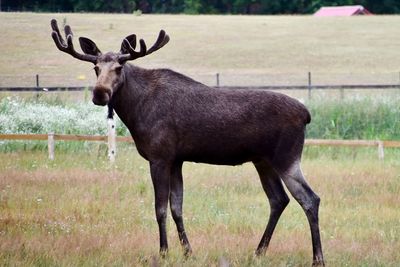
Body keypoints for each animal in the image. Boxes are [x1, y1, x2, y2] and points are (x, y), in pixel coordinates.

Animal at [50, 18, 324, 266]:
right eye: (95, 68)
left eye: (119, 67)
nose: (100, 93)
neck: (135, 111)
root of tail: (306, 114)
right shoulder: (177, 159)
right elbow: (177, 207)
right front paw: (188, 252)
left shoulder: (159, 156)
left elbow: (160, 208)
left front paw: (163, 253)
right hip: (262, 160)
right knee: (278, 200)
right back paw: (258, 252)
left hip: (286, 156)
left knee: (310, 198)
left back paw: (317, 258)